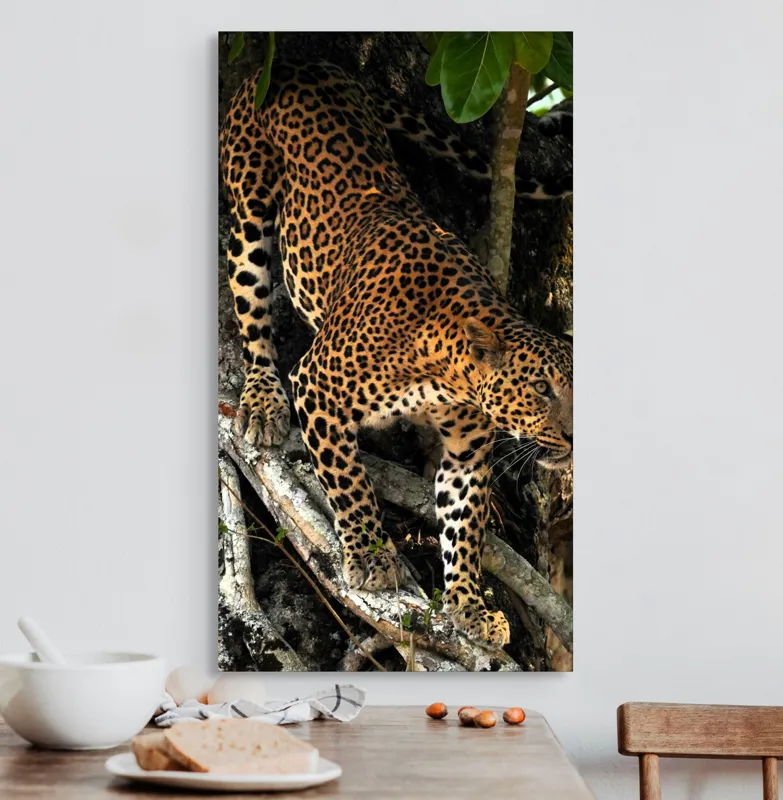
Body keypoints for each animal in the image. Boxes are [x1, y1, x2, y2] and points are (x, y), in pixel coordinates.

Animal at [219, 60, 573, 648]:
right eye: (542, 389)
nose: (573, 437)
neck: (448, 368)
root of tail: (301, 63)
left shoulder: (466, 453)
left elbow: (464, 528)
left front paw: (470, 606)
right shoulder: (317, 385)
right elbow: (348, 479)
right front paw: (369, 556)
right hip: (248, 210)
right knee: (253, 314)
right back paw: (262, 401)